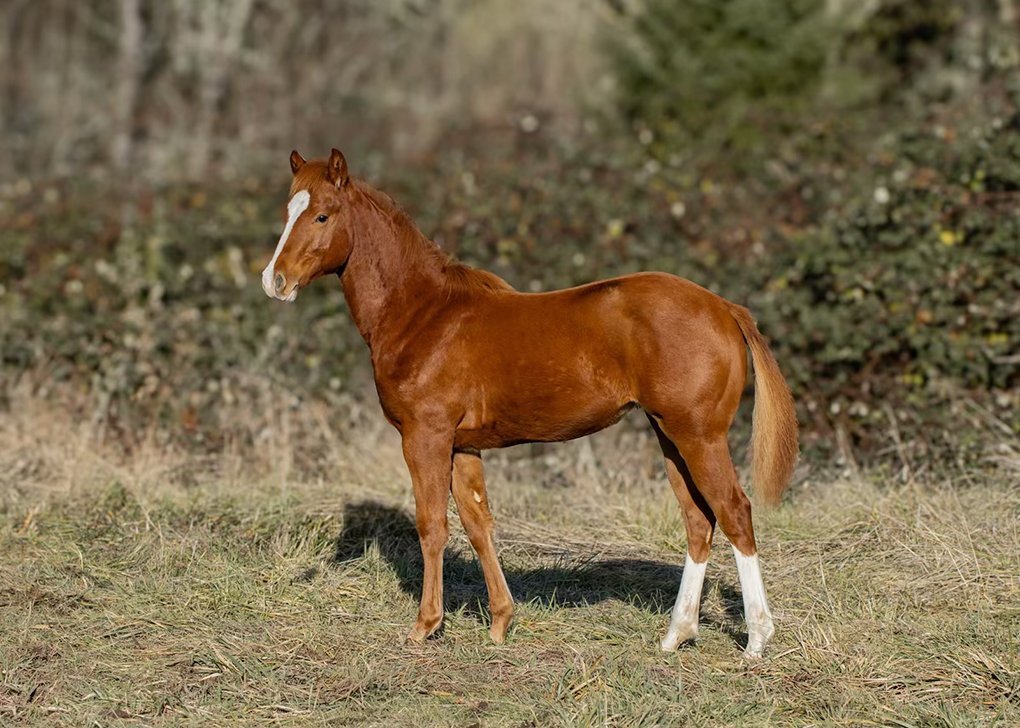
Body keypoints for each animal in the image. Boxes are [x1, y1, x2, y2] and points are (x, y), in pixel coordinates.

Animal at [261, 148, 799, 658]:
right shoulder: (463, 447)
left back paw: (756, 640)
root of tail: (725, 308)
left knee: (734, 513)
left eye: (322, 215)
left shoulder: (425, 437)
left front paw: (425, 626)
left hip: (699, 436)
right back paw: (676, 635)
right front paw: (500, 623)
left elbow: (432, 525)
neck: (424, 313)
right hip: (670, 436)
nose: (275, 280)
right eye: (288, 210)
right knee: (698, 521)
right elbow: (478, 524)